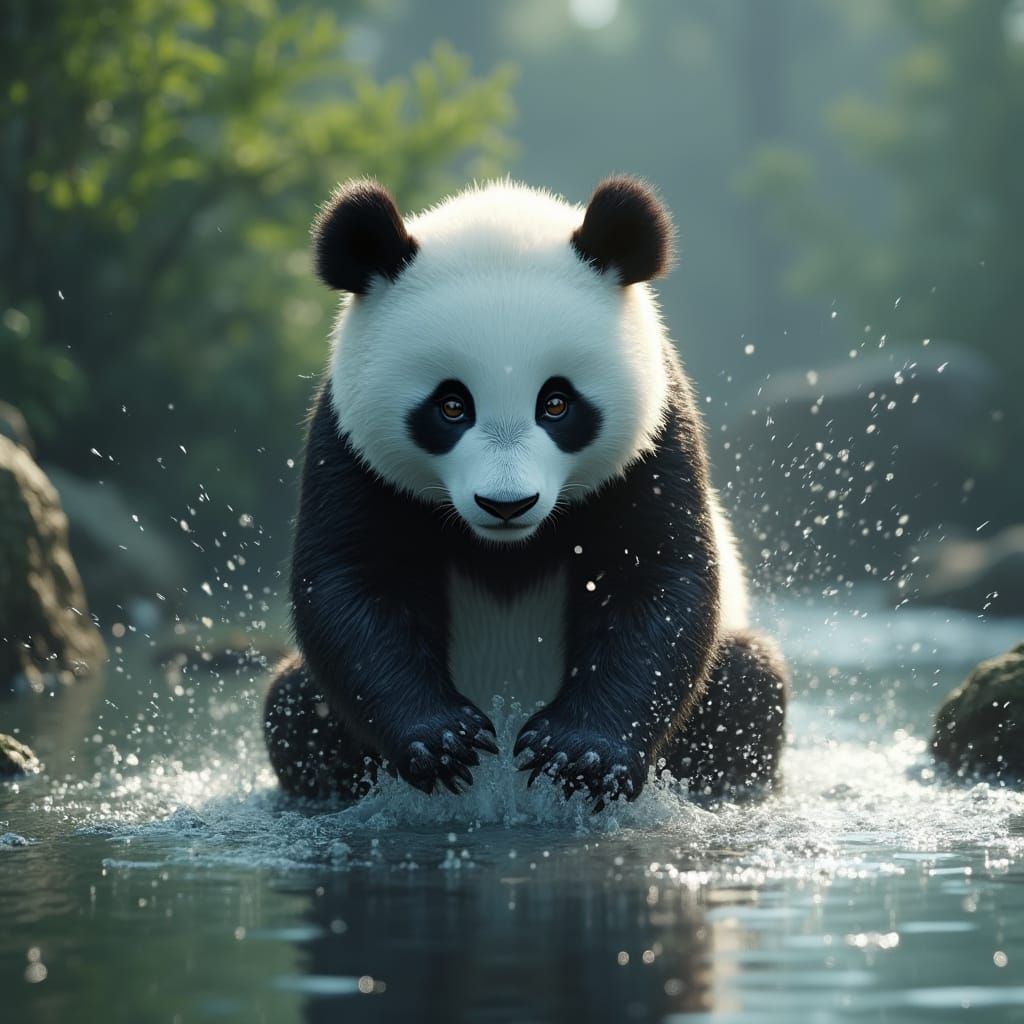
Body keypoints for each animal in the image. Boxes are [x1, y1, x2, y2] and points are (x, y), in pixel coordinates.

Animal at [264, 176, 788, 810]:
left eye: (556, 403)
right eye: (451, 405)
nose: (506, 504)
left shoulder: (657, 438)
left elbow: (660, 575)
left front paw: (580, 756)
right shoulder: (349, 446)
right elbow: (351, 578)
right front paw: (443, 742)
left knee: (750, 686)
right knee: (293, 708)